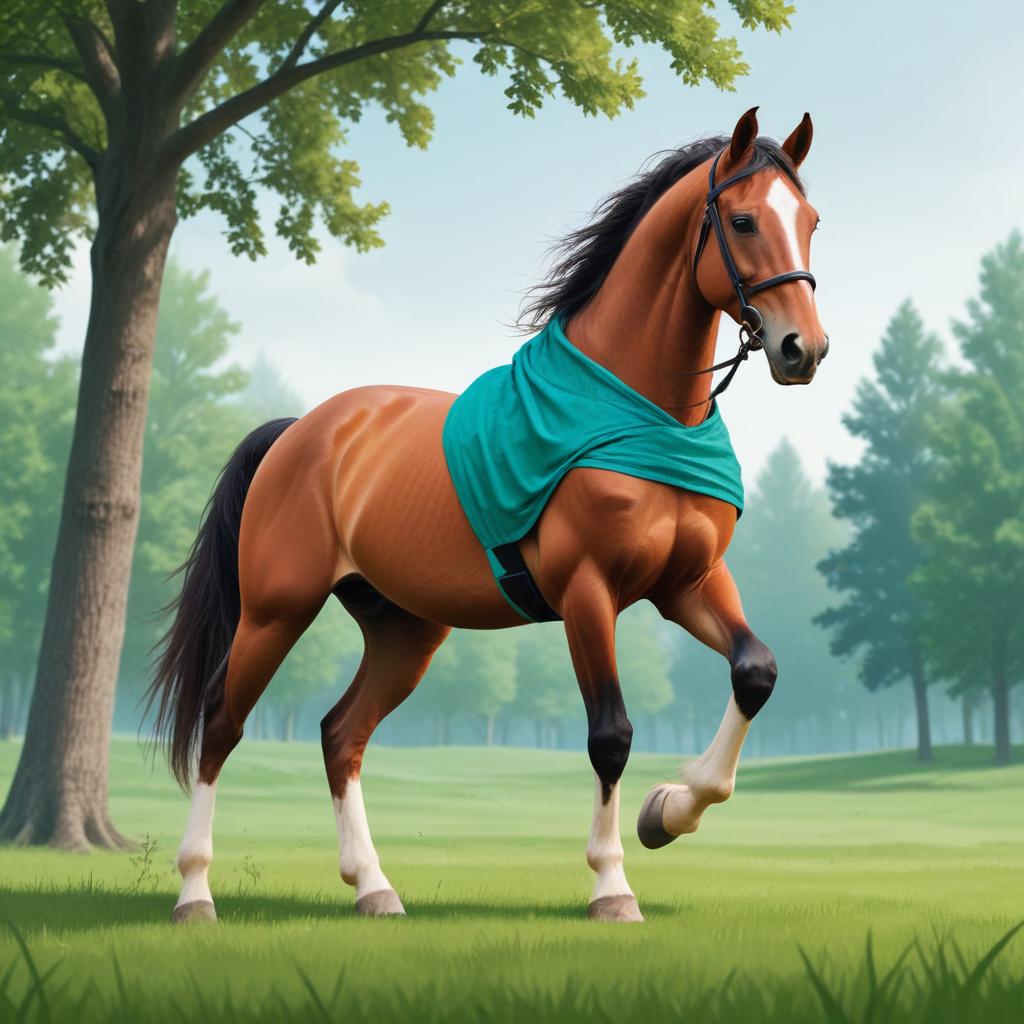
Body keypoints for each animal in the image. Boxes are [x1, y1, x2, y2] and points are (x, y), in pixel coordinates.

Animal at [150, 107, 827, 925]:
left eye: (812, 222)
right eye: (744, 219)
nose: (803, 349)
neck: (633, 407)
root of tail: (300, 431)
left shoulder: (689, 583)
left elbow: (755, 672)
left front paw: (667, 812)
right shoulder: (587, 593)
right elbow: (611, 734)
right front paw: (612, 885)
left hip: (405, 630)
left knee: (341, 734)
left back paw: (373, 887)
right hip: (275, 611)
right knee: (221, 722)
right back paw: (195, 893)